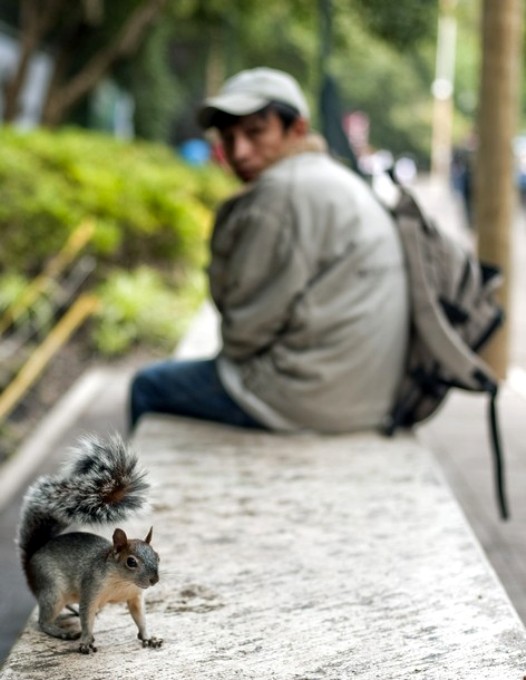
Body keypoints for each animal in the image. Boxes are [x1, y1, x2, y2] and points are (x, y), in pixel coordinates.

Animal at [17, 436, 163, 652]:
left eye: (157, 557)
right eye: (131, 562)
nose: (154, 580)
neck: (122, 582)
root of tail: (31, 559)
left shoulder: (135, 597)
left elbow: (140, 618)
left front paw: (148, 637)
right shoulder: (90, 589)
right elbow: (86, 618)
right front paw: (86, 641)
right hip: (52, 589)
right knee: (43, 621)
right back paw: (61, 632)